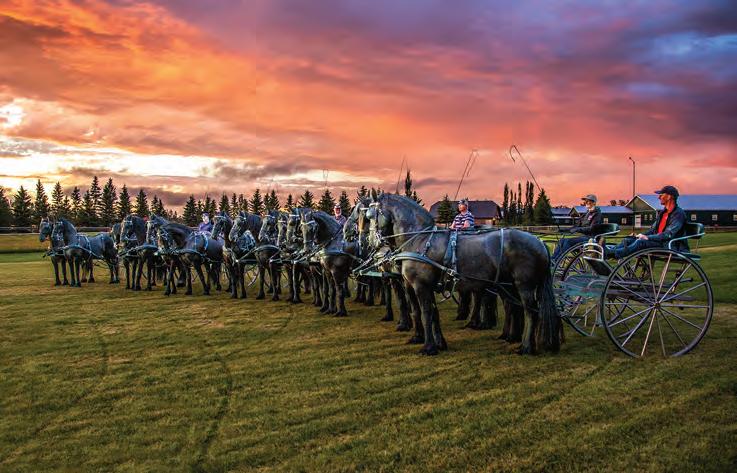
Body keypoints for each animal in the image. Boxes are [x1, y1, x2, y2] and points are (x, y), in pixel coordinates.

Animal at [365, 192, 561, 355]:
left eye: (370, 216)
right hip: (508, 285)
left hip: (524, 285)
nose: (370, 242)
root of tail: (539, 242)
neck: (420, 239)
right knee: (515, 308)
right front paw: (439, 343)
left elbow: (426, 313)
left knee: (530, 311)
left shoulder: (421, 285)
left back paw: (526, 347)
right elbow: (432, 313)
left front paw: (428, 347)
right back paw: (514, 338)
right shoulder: (426, 286)